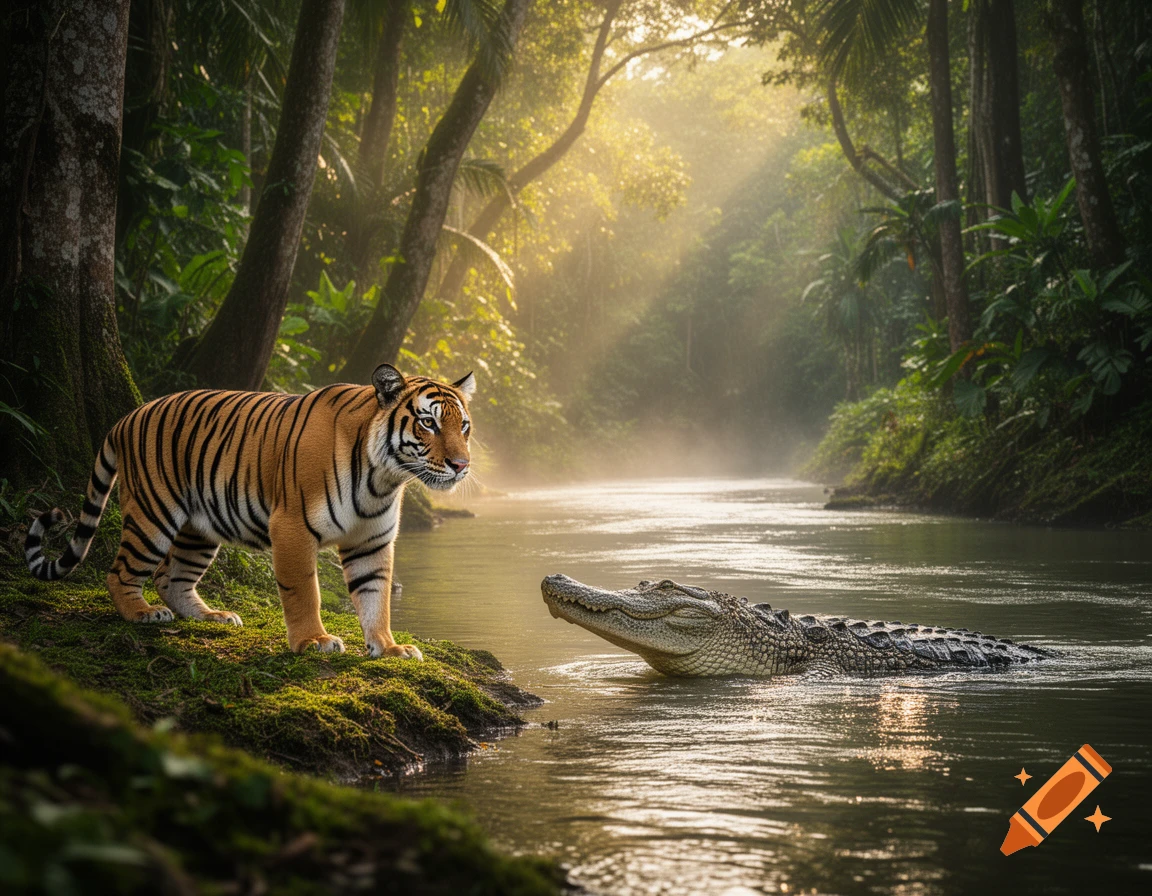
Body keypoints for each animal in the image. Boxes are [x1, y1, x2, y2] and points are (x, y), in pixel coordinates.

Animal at [24, 364, 474, 659]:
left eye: (464, 426)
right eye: (429, 424)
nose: (461, 465)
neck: (384, 478)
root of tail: (127, 416)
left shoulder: (372, 540)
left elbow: (376, 597)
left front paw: (389, 647)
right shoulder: (292, 526)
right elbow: (304, 592)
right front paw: (314, 642)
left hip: (198, 529)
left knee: (170, 576)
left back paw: (213, 616)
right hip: (154, 515)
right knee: (120, 572)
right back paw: (142, 614)